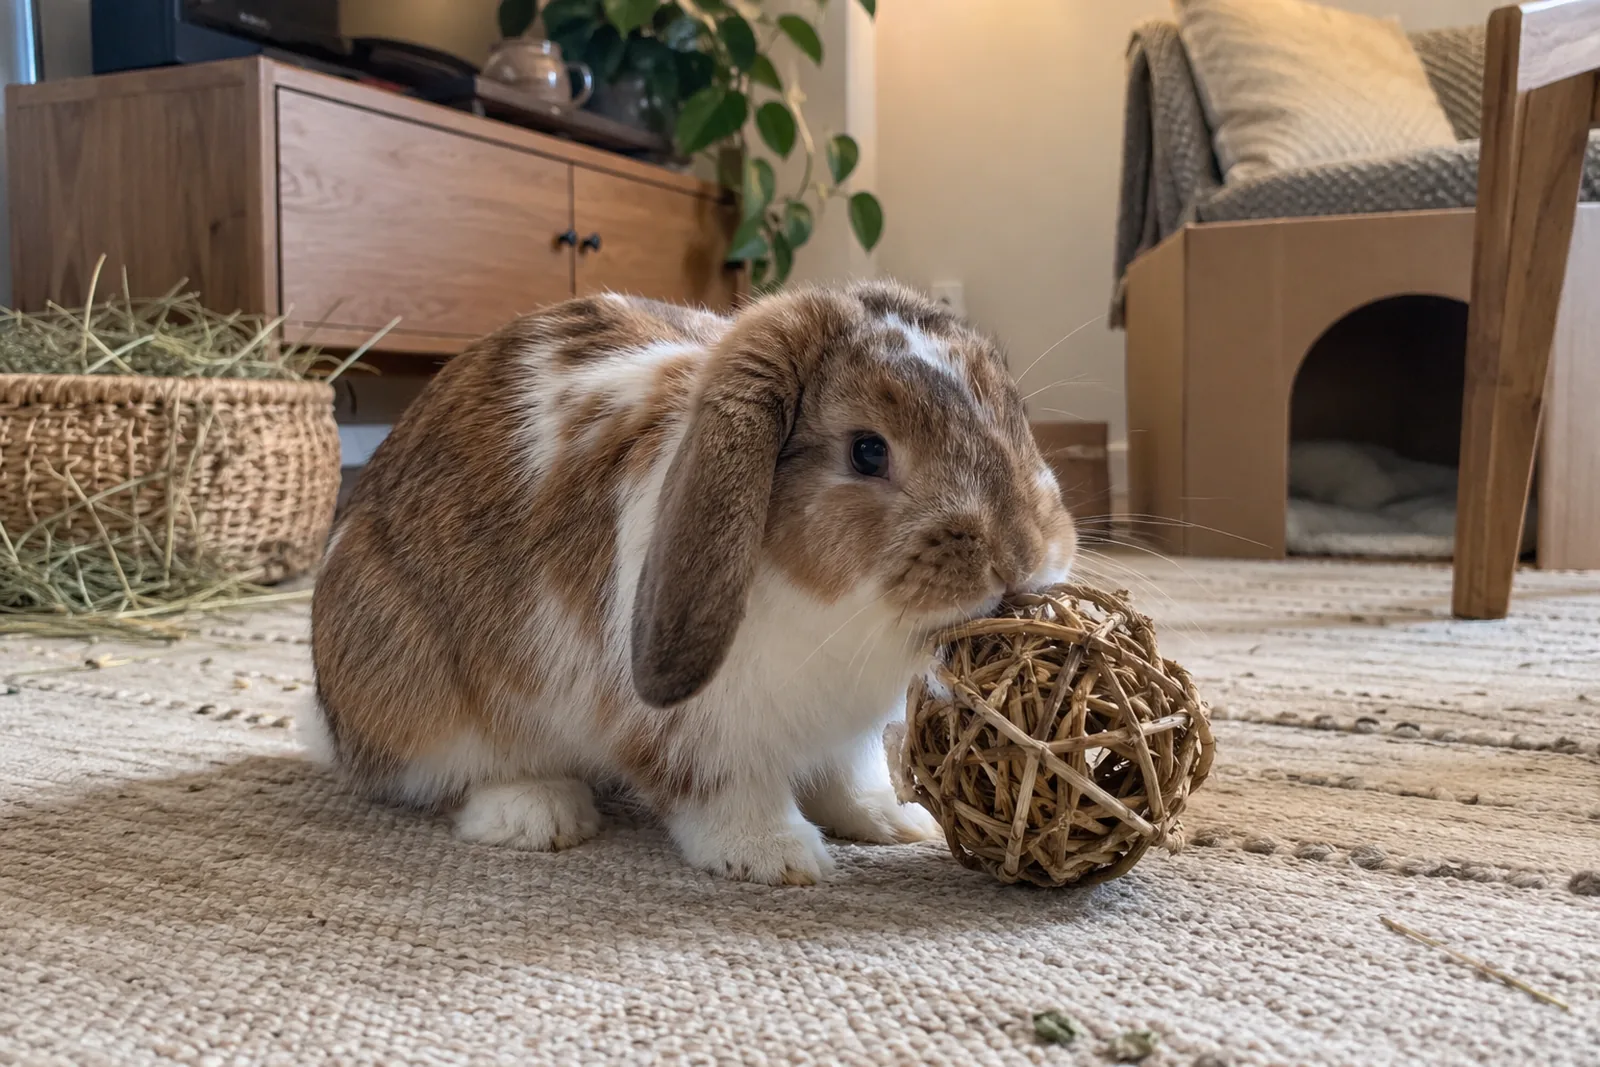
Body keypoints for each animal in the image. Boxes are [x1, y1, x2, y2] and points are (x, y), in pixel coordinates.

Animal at [307, 281, 1078, 885]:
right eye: (867, 451)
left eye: (1015, 416)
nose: (1020, 556)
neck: (835, 611)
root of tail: (332, 720)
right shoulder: (696, 733)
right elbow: (722, 791)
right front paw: (778, 855)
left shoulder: (845, 736)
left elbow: (847, 778)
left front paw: (895, 821)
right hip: (415, 680)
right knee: (442, 774)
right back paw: (538, 813)